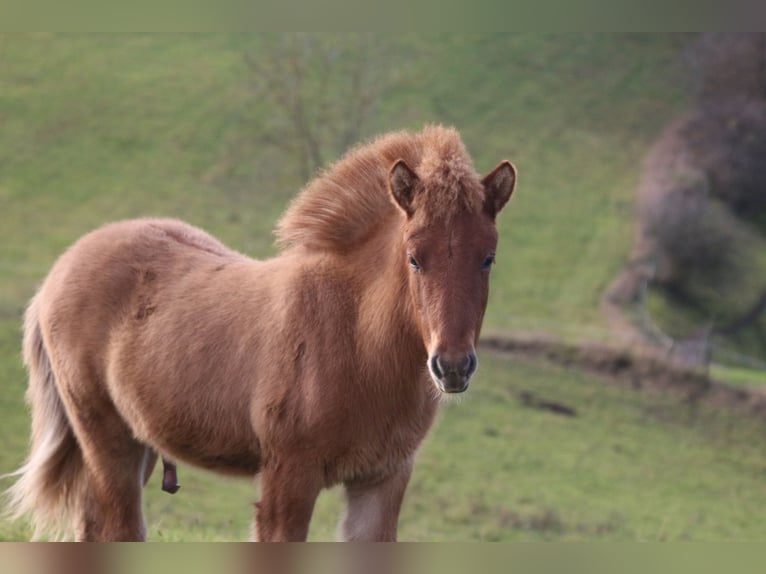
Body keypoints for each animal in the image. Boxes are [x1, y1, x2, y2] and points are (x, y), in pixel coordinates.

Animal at [4, 125, 516, 541]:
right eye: (414, 258)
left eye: (488, 258)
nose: (452, 366)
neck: (355, 341)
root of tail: (58, 272)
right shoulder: (288, 478)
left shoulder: (382, 480)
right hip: (106, 438)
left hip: (138, 441)